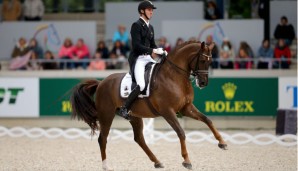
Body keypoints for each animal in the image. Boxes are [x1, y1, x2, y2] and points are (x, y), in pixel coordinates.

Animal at [71, 40, 227, 170]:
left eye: (211, 61)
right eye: (202, 60)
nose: (203, 83)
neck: (174, 76)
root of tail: (101, 83)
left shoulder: (186, 108)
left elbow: (207, 120)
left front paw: (222, 143)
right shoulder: (167, 111)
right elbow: (181, 132)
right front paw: (187, 161)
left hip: (134, 116)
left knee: (139, 138)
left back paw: (157, 162)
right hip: (106, 115)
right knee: (102, 139)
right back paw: (105, 166)